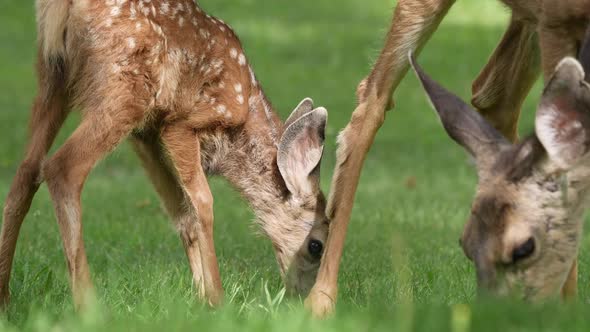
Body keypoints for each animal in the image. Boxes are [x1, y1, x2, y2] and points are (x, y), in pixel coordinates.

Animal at [0, 0, 330, 308]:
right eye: (316, 246)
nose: (303, 299)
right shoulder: (182, 123)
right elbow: (203, 203)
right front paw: (217, 298)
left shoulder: (146, 134)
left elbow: (181, 211)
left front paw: (200, 298)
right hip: (124, 87)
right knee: (62, 168)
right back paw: (88, 306)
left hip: (54, 78)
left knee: (26, 171)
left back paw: (5, 296)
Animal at [308, 0, 588, 316]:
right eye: (464, 244)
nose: (501, 313)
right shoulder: (556, 22)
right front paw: (568, 310)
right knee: (372, 101)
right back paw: (321, 298)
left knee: (493, 95)